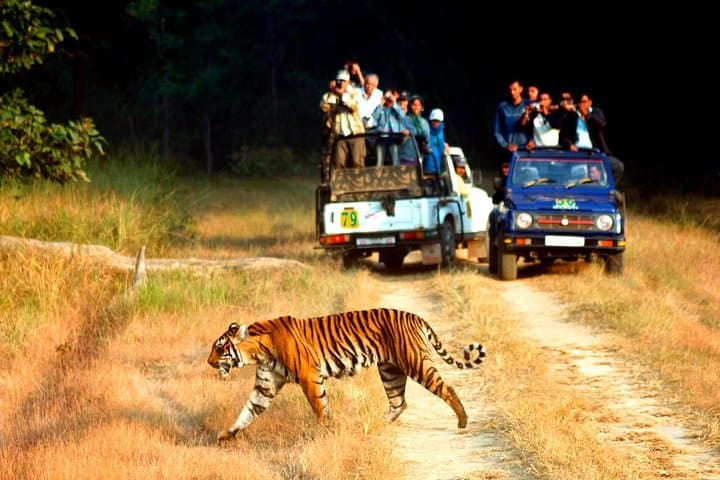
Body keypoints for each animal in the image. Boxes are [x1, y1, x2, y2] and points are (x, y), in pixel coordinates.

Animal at [207, 307, 485, 441]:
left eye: (219, 348)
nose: (209, 362)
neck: (258, 351)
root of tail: (416, 317)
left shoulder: (309, 377)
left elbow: (320, 407)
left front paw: (324, 432)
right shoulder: (265, 386)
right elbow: (247, 412)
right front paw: (225, 435)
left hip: (416, 363)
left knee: (447, 388)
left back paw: (463, 421)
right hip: (390, 371)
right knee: (399, 402)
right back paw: (374, 425)